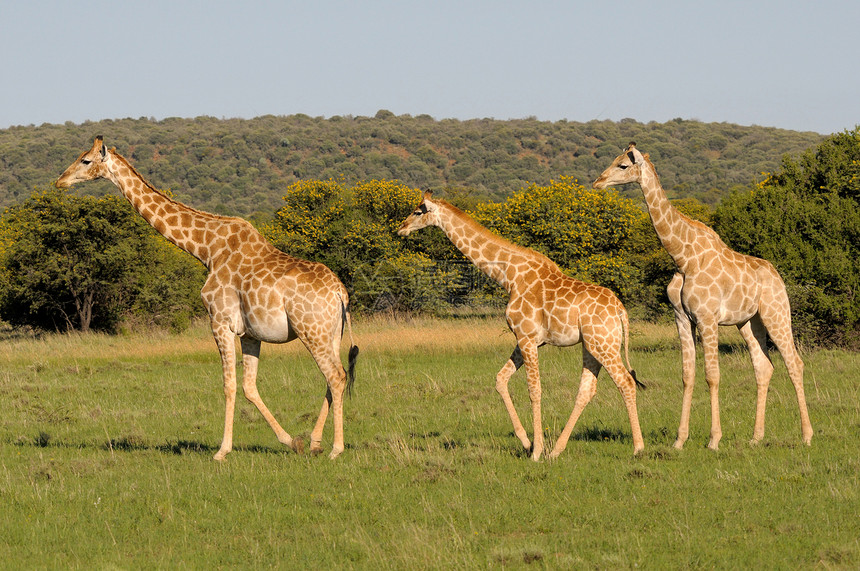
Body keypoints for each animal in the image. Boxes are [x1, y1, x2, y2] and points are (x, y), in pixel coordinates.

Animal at [56, 136, 360, 462]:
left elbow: (229, 385)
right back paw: (315, 442)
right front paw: (292, 441)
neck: (207, 249)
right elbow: (249, 387)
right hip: (331, 333)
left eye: (86, 160)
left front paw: (222, 451)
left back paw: (336, 449)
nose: (60, 181)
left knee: (336, 376)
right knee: (335, 376)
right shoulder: (250, 333)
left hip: (311, 330)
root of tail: (340, 292)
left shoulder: (219, 321)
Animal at [398, 192, 644, 460]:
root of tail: (620, 309)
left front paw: (536, 451)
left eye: (418, 211)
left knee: (625, 382)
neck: (509, 276)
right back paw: (557, 450)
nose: (401, 228)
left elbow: (534, 390)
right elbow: (500, 379)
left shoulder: (526, 336)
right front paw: (527, 443)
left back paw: (637, 448)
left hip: (604, 344)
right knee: (586, 390)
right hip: (591, 345)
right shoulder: (525, 338)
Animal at [596, 143, 808, 452]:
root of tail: (777, 276)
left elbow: (712, 376)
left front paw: (713, 440)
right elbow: (687, 375)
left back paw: (807, 435)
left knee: (794, 363)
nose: (598, 182)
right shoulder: (682, 318)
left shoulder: (708, 318)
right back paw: (756, 437)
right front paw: (679, 440)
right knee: (763, 367)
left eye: (622, 165)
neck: (683, 257)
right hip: (749, 322)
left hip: (776, 313)